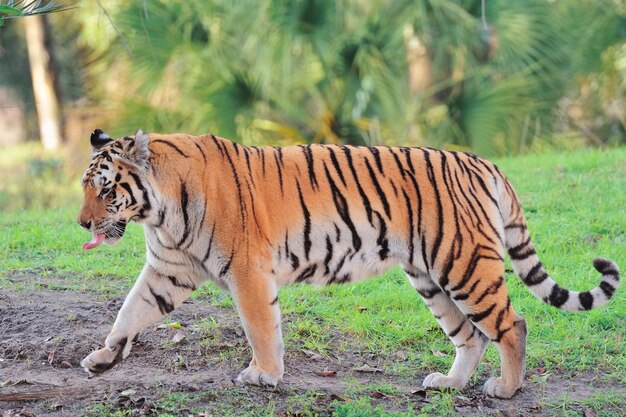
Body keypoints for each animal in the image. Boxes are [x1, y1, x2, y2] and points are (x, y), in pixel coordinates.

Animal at [75, 128, 616, 398]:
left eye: (104, 188)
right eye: (87, 188)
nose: (81, 224)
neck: (159, 211)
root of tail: (482, 162)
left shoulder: (247, 271)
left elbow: (260, 327)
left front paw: (264, 375)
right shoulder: (168, 270)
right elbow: (129, 311)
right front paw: (103, 358)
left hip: (464, 265)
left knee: (512, 324)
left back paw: (504, 389)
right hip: (430, 277)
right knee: (471, 335)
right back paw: (449, 384)